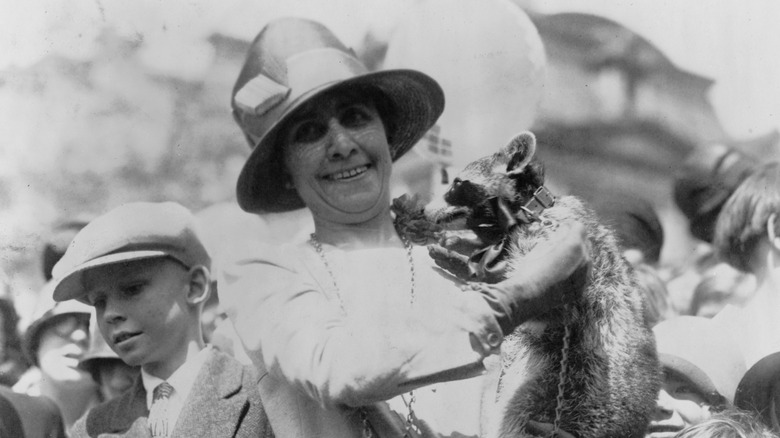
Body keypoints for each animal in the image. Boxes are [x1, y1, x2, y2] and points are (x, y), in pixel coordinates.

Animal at [414, 132, 660, 436]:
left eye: (458, 184)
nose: (423, 210)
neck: (527, 211)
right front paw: (462, 247)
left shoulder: (560, 247)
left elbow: (549, 304)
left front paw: (471, 268)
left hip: (566, 391)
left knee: (516, 408)